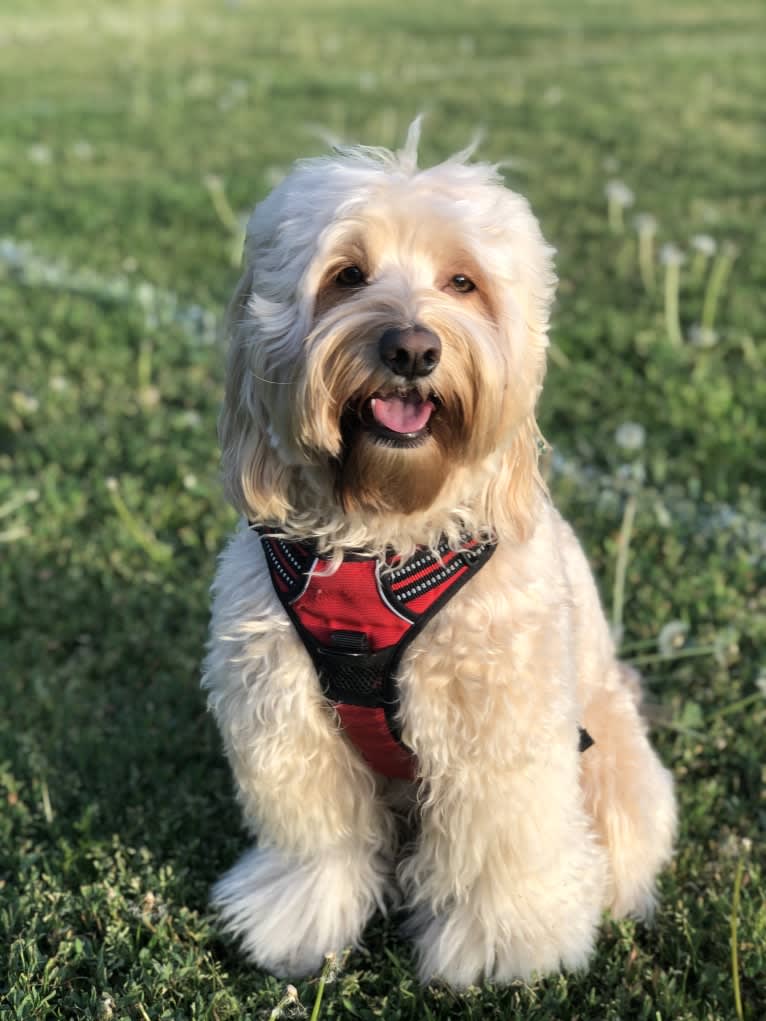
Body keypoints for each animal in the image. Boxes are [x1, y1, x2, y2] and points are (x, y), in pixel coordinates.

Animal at [202, 121, 678, 988]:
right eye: (347, 275)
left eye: (463, 282)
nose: (412, 349)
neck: (382, 536)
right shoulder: (285, 716)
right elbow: (318, 837)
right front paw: (299, 921)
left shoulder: (497, 726)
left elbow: (496, 844)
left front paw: (503, 946)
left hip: (615, 774)